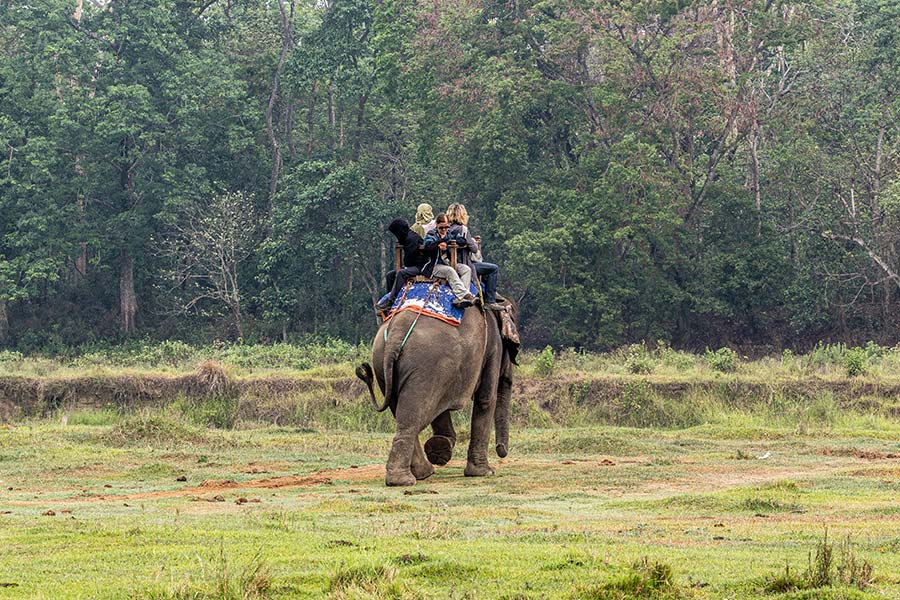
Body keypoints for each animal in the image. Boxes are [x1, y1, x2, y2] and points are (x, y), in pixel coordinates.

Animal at [356, 299, 517, 486]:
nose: (501, 450)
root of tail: (395, 336)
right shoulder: (493, 347)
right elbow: (486, 398)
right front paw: (484, 472)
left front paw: (442, 447)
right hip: (426, 366)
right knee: (415, 416)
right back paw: (405, 480)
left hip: (383, 366)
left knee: (404, 415)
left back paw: (422, 472)